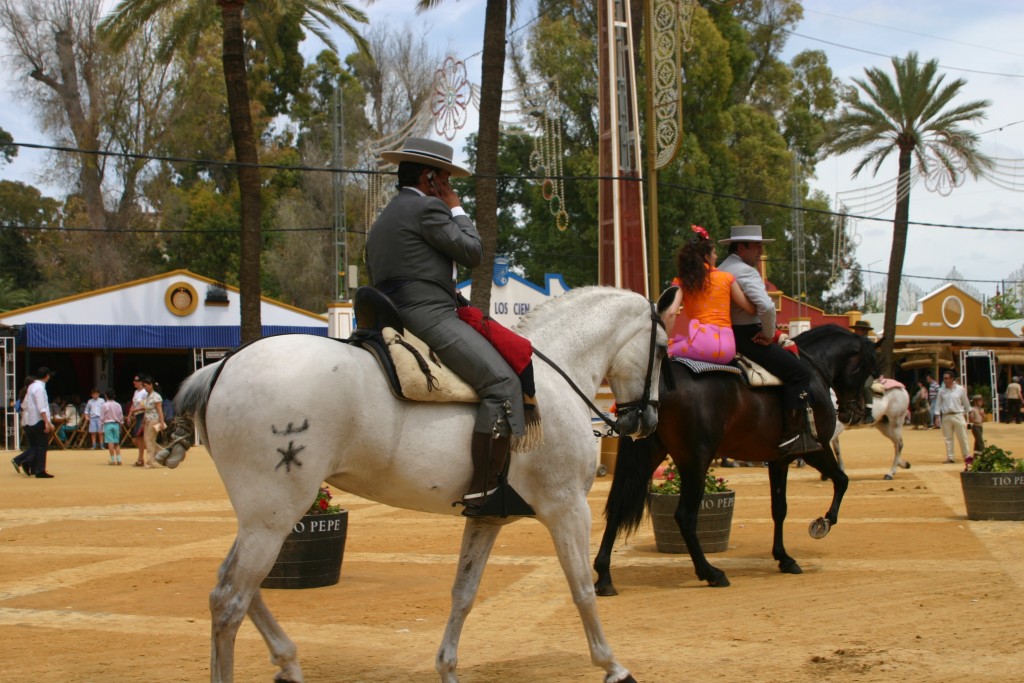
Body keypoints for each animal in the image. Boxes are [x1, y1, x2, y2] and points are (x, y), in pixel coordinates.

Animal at [169, 286, 663, 683]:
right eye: (661, 347)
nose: (646, 421)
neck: (553, 378)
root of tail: (222, 366)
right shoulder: (567, 508)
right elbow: (581, 588)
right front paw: (613, 666)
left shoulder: (488, 518)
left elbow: (463, 594)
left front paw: (448, 668)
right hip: (273, 518)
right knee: (229, 600)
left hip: (263, 519)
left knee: (233, 586)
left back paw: (288, 661)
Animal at [593, 323, 880, 593]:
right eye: (867, 369)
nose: (855, 412)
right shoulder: (815, 449)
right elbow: (842, 480)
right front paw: (824, 522)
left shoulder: (779, 460)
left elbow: (780, 509)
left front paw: (784, 558)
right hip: (695, 460)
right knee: (685, 516)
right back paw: (710, 572)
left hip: (655, 452)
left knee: (618, 505)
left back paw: (604, 576)